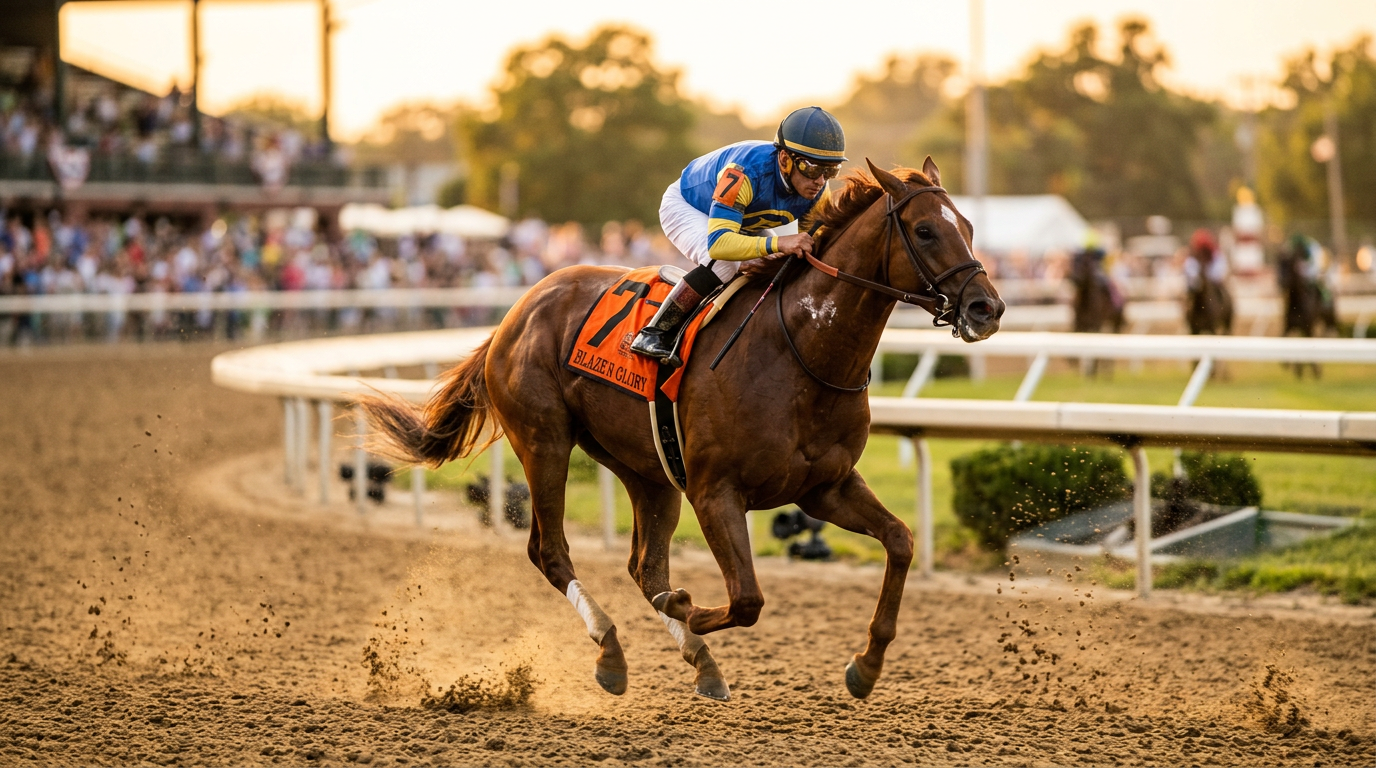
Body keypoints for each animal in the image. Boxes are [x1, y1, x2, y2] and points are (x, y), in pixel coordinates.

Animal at [360, 158, 1004, 703]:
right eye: (925, 230)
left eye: (971, 225)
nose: (987, 308)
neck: (802, 352)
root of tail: (515, 312)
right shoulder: (715, 491)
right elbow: (746, 599)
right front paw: (688, 607)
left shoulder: (825, 487)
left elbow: (900, 540)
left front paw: (866, 666)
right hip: (545, 441)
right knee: (551, 551)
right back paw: (612, 652)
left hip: (646, 469)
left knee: (643, 565)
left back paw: (701, 663)